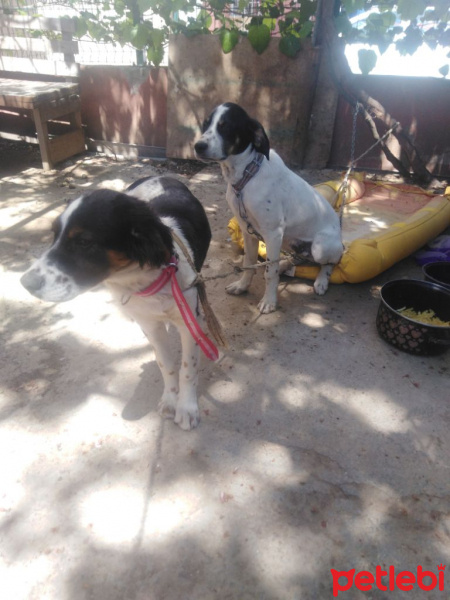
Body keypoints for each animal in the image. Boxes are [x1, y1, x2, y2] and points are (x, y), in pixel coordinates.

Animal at [20, 176, 212, 428]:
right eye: (53, 235)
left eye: (84, 241)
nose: (25, 283)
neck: (144, 281)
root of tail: (161, 176)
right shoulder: (150, 325)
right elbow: (166, 364)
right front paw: (171, 400)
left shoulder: (189, 322)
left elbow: (188, 368)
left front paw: (187, 408)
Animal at [192, 102, 342, 314]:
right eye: (206, 124)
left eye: (226, 126)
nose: (198, 146)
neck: (246, 175)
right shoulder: (248, 231)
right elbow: (249, 262)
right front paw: (242, 286)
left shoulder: (272, 233)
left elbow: (270, 274)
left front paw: (269, 301)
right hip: (290, 242)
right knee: (300, 259)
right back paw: (285, 264)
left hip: (320, 246)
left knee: (330, 263)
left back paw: (321, 281)